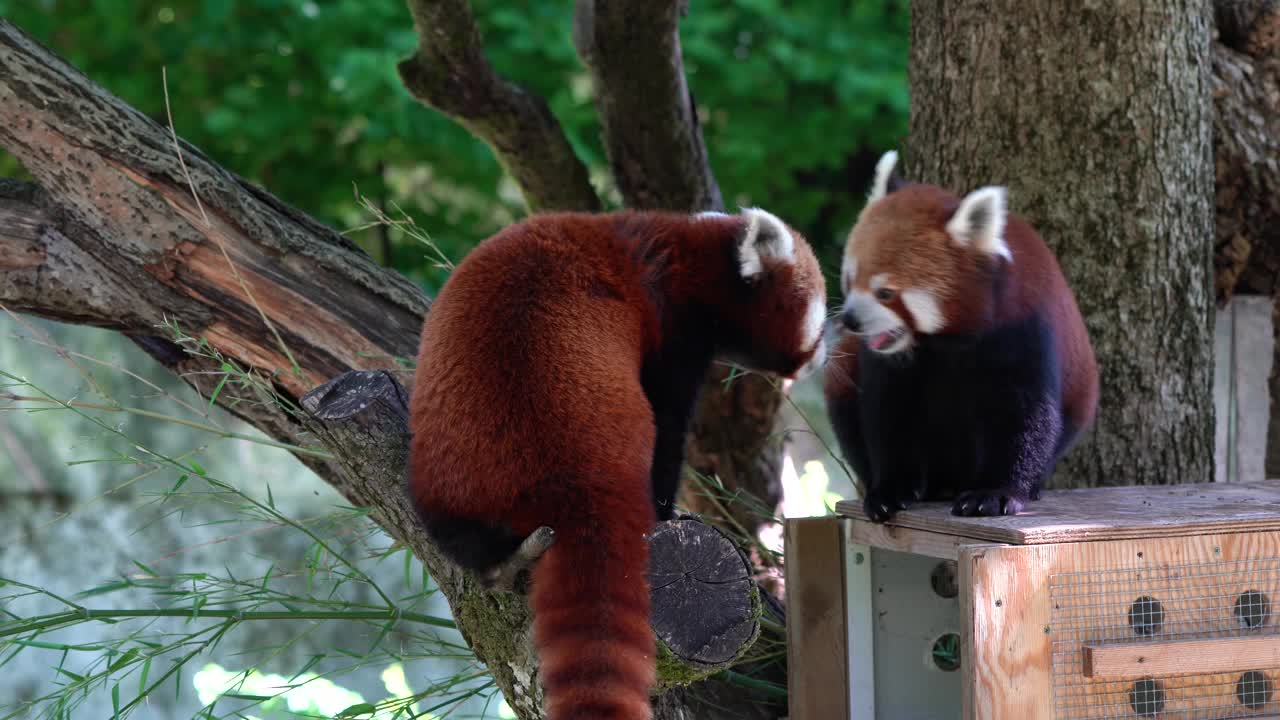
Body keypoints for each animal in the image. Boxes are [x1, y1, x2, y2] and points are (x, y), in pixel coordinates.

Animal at [409, 204, 829, 712]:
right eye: (819, 320)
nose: (823, 357)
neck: (686, 254)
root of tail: (578, 487)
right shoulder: (673, 333)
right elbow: (670, 422)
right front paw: (670, 510)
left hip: (448, 470)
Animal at [829, 152, 1100, 520]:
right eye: (850, 277)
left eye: (885, 292)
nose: (851, 319)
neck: (948, 338)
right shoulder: (891, 364)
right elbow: (889, 413)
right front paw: (890, 490)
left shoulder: (1021, 328)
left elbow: (1024, 416)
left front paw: (996, 493)